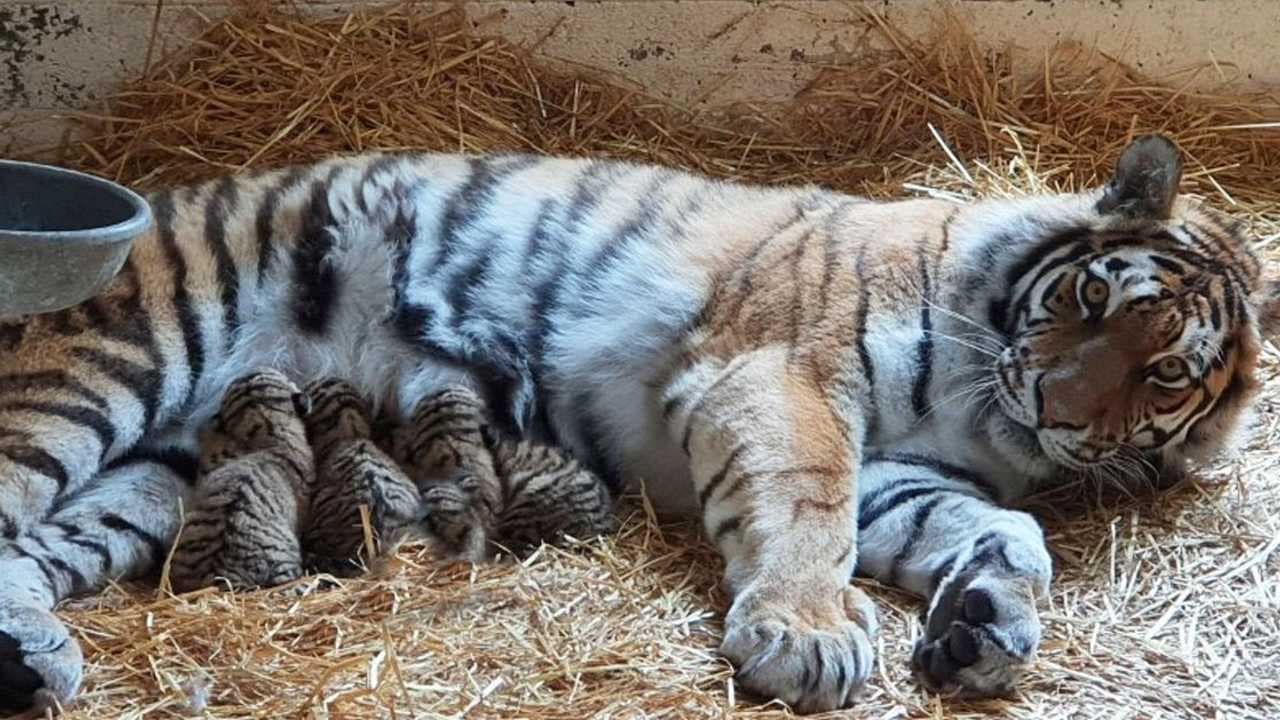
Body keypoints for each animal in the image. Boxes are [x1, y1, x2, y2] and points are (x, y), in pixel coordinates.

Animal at [0, 135, 1274, 712]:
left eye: (1160, 374)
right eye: (1092, 300)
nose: (1058, 407)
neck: (981, 396)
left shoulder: (902, 469)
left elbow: (1006, 531)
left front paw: (981, 623)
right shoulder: (783, 374)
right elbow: (803, 508)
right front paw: (805, 636)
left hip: (166, 466)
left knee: (37, 544)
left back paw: (31, 655)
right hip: (116, 360)